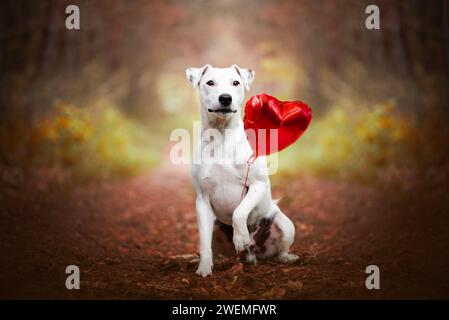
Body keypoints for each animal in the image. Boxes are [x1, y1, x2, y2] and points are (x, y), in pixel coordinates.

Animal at [186, 63, 298, 276]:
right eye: (210, 82)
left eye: (236, 83)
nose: (225, 98)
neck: (221, 136)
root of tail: (254, 252)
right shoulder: (202, 200)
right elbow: (204, 242)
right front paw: (204, 268)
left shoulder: (257, 185)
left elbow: (239, 211)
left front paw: (240, 237)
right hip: (216, 227)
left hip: (285, 224)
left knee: (281, 249)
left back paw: (285, 257)